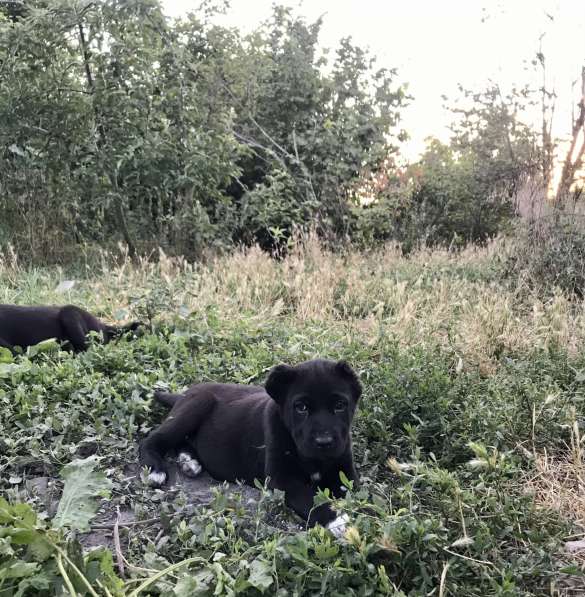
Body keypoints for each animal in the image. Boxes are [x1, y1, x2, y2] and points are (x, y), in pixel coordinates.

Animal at [141, 358, 360, 536]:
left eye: (340, 405)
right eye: (301, 408)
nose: (324, 442)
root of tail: (182, 395)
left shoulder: (344, 472)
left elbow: (353, 494)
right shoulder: (282, 481)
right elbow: (311, 498)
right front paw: (338, 521)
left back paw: (189, 461)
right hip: (195, 407)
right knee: (152, 440)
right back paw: (155, 470)